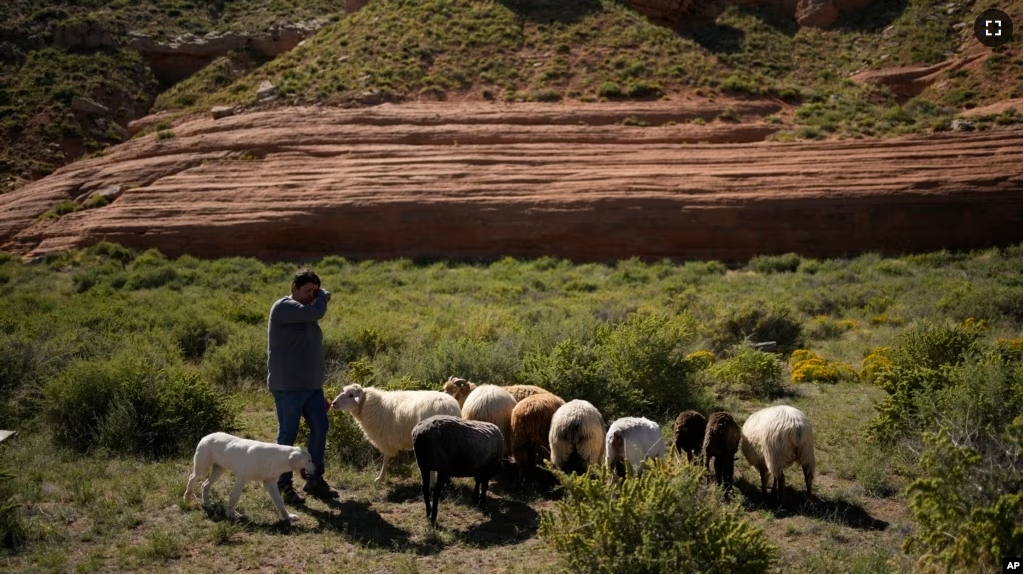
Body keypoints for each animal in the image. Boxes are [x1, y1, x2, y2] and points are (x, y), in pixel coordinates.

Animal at [331, 382, 460, 480]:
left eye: (351, 395)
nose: (333, 403)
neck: (368, 405)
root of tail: (448, 407)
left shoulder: (384, 439)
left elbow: (385, 459)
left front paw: (380, 477)